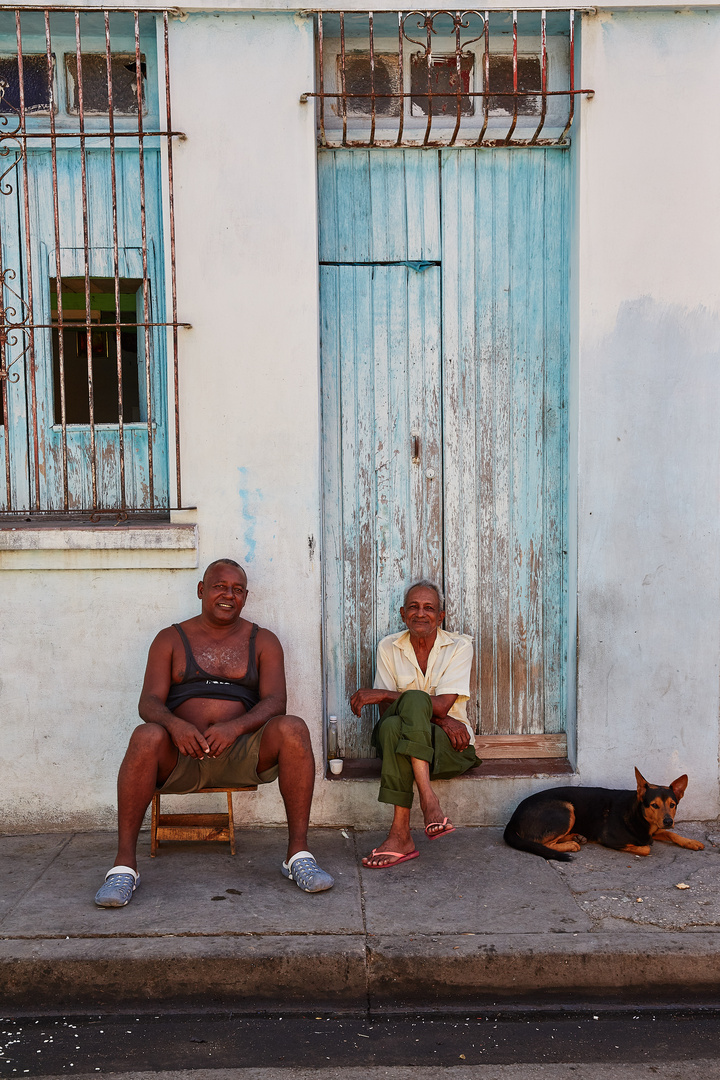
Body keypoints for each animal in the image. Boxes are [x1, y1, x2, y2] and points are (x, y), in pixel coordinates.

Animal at [505, 768, 699, 859]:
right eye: (654, 805)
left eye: (673, 805)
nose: (668, 821)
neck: (638, 814)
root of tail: (512, 819)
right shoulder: (611, 839)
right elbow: (645, 848)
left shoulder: (656, 829)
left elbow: (671, 834)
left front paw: (691, 842)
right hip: (566, 810)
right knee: (541, 843)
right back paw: (571, 844)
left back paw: (576, 837)